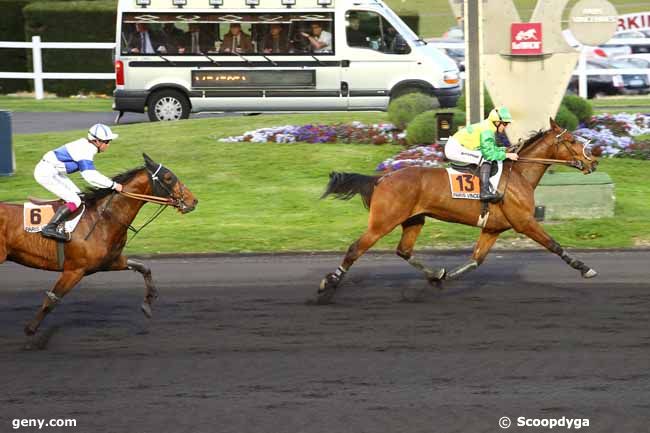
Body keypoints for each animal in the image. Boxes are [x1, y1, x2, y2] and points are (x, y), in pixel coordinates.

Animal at [0, 153, 196, 334]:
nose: (193, 200)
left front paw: (148, 304)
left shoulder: (109, 261)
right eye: (168, 177)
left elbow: (143, 267)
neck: (104, 218)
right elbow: (51, 300)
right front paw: (30, 331)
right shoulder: (74, 270)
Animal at [316, 116, 596, 302]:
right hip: (383, 221)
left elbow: (475, 261)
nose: (593, 162)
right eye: (571, 140)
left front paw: (445, 278)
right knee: (355, 248)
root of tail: (382, 178)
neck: (519, 175)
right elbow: (554, 244)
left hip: (414, 219)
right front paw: (585, 268)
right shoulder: (524, 221)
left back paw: (434, 274)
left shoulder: (492, 228)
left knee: (403, 250)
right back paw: (328, 283)